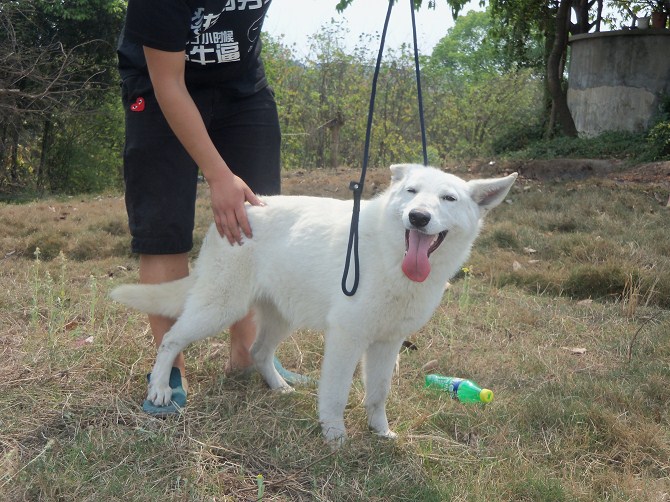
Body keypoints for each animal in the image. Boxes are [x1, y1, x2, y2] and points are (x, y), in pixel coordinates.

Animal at [113, 164, 516, 444]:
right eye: (412, 191)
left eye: (449, 199)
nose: (418, 217)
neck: (390, 255)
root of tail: (234, 211)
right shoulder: (346, 339)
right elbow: (336, 395)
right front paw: (335, 437)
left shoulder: (387, 344)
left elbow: (378, 395)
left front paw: (381, 434)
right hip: (218, 308)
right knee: (171, 339)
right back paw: (161, 388)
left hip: (280, 317)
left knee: (258, 352)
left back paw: (279, 387)